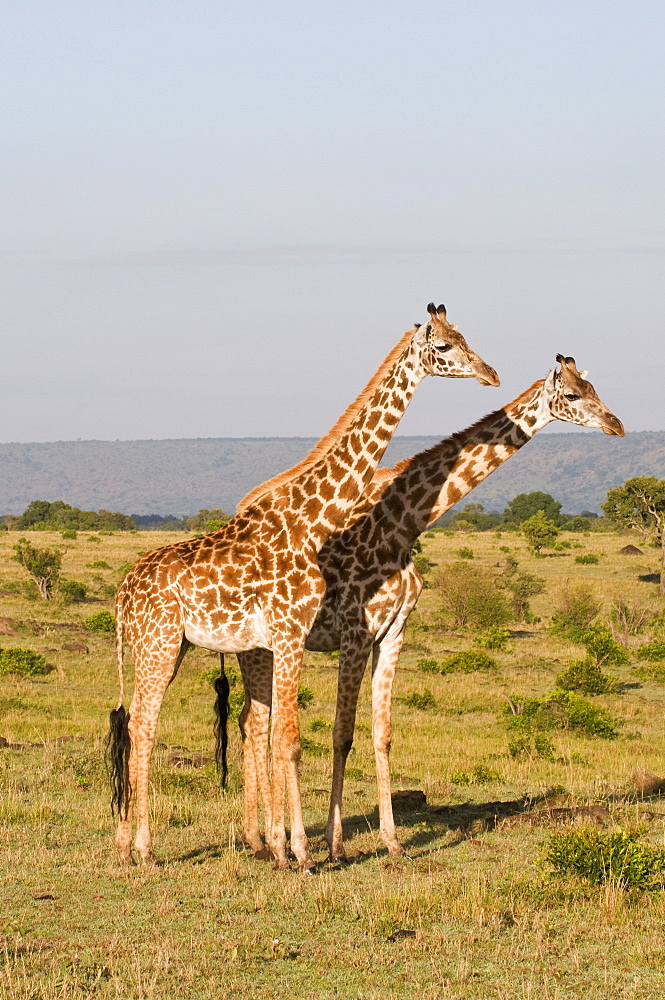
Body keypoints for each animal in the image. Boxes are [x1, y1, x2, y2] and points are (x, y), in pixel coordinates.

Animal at [107, 302, 498, 868]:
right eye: (444, 346)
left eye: (466, 337)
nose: (491, 374)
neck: (309, 520)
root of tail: (120, 594)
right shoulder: (291, 633)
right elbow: (290, 739)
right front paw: (300, 852)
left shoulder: (291, 638)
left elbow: (289, 735)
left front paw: (290, 846)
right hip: (158, 644)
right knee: (145, 724)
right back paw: (145, 848)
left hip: (168, 646)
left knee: (137, 719)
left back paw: (124, 844)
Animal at [232, 354, 624, 860]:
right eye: (574, 394)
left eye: (595, 387)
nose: (616, 424)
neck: (402, 526)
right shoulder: (356, 633)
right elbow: (342, 734)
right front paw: (336, 845)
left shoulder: (394, 631)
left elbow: (381, 733)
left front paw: (392, 841)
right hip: (258, 646)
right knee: (258, 725)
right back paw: (266, 841)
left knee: (250, 722)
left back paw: (259, 837)